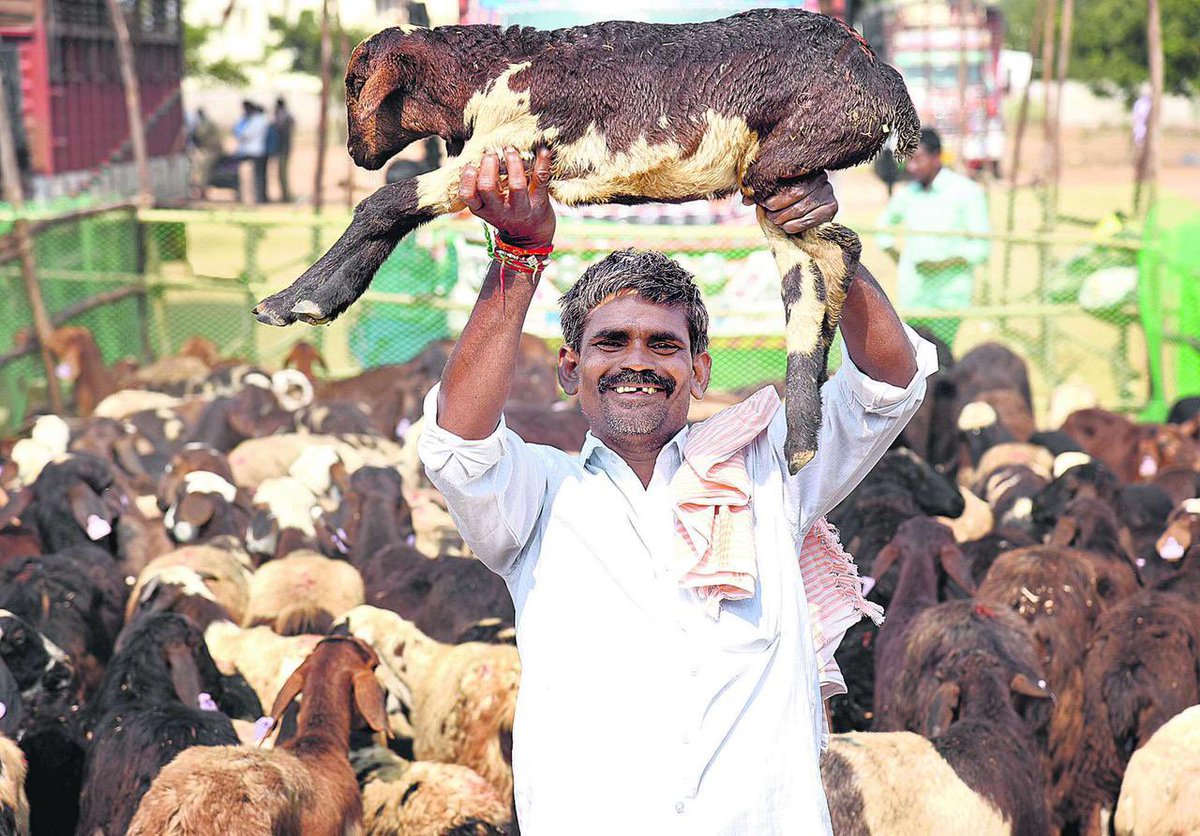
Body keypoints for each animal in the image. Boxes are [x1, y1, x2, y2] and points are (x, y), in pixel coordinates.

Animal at [252, 10, 921, 473]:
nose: (353, 152)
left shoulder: (507, 142)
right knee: (824, 261)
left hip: (784, 156)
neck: (489, 74)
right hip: (779, 182)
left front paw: (297, 302)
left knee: (825, 257)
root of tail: (877, 67)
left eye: (351, 82)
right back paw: (803, 441)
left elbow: (384, 204)